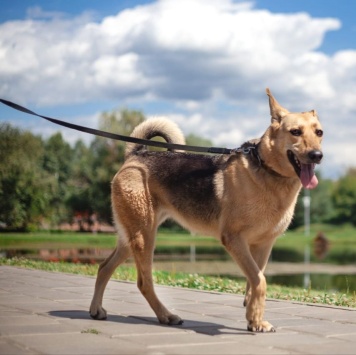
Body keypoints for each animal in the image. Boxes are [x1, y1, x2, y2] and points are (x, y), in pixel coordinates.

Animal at [89, 87, 322, 332]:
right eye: (295, 131)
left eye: (319, 132)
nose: (317, 155)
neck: (268, 170)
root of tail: (137, 154)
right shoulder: (234, 239)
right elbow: (260, 281)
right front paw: (257, 321)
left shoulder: (263, 245)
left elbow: (254, 283)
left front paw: (253, 318)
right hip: (144, 237)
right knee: (144, 282)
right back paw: (166, 316)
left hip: (132, 237)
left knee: (104, 267)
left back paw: (96, 310)